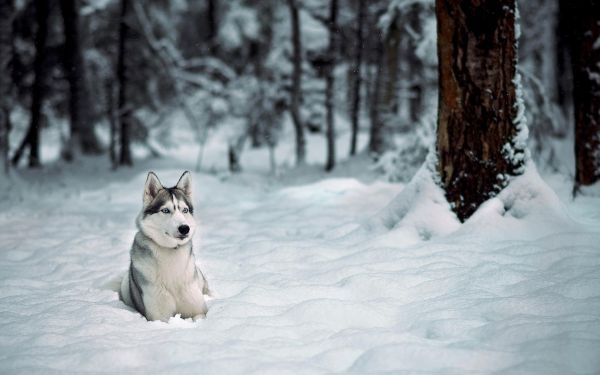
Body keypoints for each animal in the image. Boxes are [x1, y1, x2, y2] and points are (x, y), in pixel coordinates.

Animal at [119, 172, 209, 322]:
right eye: (165, 210)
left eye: (185, 210)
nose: (185, 228)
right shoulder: (159, 317)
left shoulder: (199, 311)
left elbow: (199, 316)